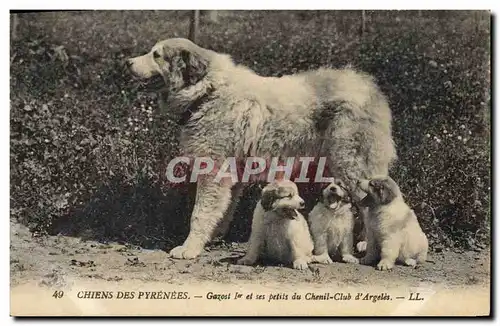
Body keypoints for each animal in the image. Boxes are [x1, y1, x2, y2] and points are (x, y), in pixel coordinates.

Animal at [127, 38, 396, 258]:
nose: (128, 62)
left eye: (156, 55)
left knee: (369, 203)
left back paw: (366, 244)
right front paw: (212, 238)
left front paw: (189, 248)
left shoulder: (213, 171)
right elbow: (222, 210)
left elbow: (200, 213)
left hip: (353, 166)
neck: (207, 92)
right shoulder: (232, 173)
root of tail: (371, 89)